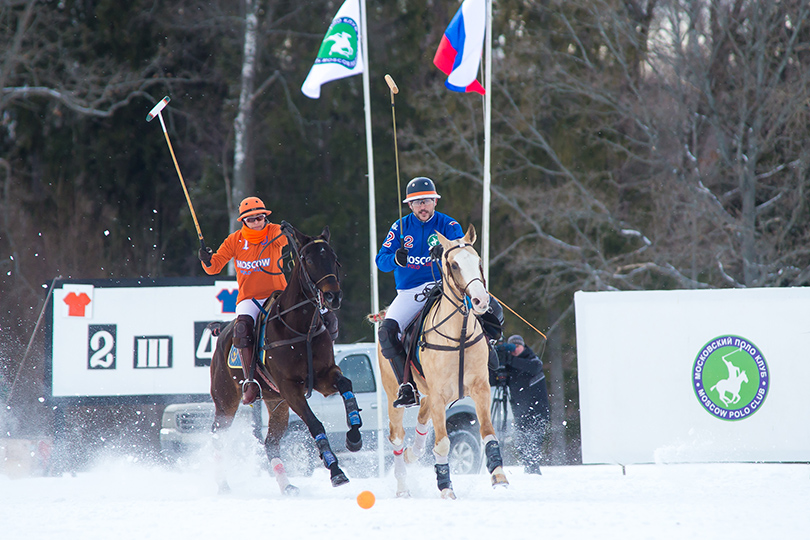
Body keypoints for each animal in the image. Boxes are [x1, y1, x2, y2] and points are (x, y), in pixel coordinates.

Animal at [210, 220, 362, 494]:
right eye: (309, 260)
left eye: (334, 259)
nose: (333, 297)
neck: (300, 326)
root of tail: (223, 329)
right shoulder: (291, 388)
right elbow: (315, 424)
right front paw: (335, 470)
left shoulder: (324, 376)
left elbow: (346, 384)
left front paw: (354, 436)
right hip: (226, 400)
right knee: (218, 437)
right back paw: (223, 484)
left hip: (275, 403)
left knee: (270, 442)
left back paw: (287, 486)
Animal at [374, 224, 504, 498]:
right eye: (454, 265)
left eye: (478, 261)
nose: (481, 301)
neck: (459, 334)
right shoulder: (439, 394)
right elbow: (443, 444)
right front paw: (446, 489)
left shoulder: (480, 389)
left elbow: (488, 433)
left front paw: (499, 476)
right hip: (394, 393)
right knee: (397, 437)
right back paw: (402, 487)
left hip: (429, 394)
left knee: (422, 420)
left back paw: (413, 453)